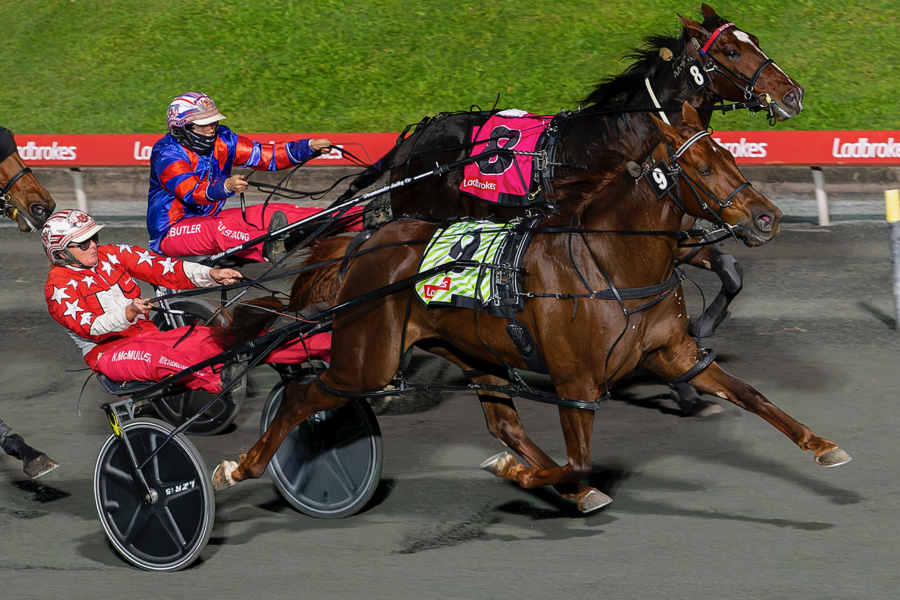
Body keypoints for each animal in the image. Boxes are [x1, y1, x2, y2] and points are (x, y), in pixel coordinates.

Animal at [212, 103, 849, 514]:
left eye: (731, 155)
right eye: (704, 166)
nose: (767, 217)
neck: (609, 264)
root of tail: (366, 243)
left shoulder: (673, 353)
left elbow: (750, 395)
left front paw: (824, 447)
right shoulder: (575, 381)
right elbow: (579, 459)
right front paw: (523, 476)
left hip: (472, 351)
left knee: (504, 422)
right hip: (365, 359)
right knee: (305, 396)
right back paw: (236, 467)